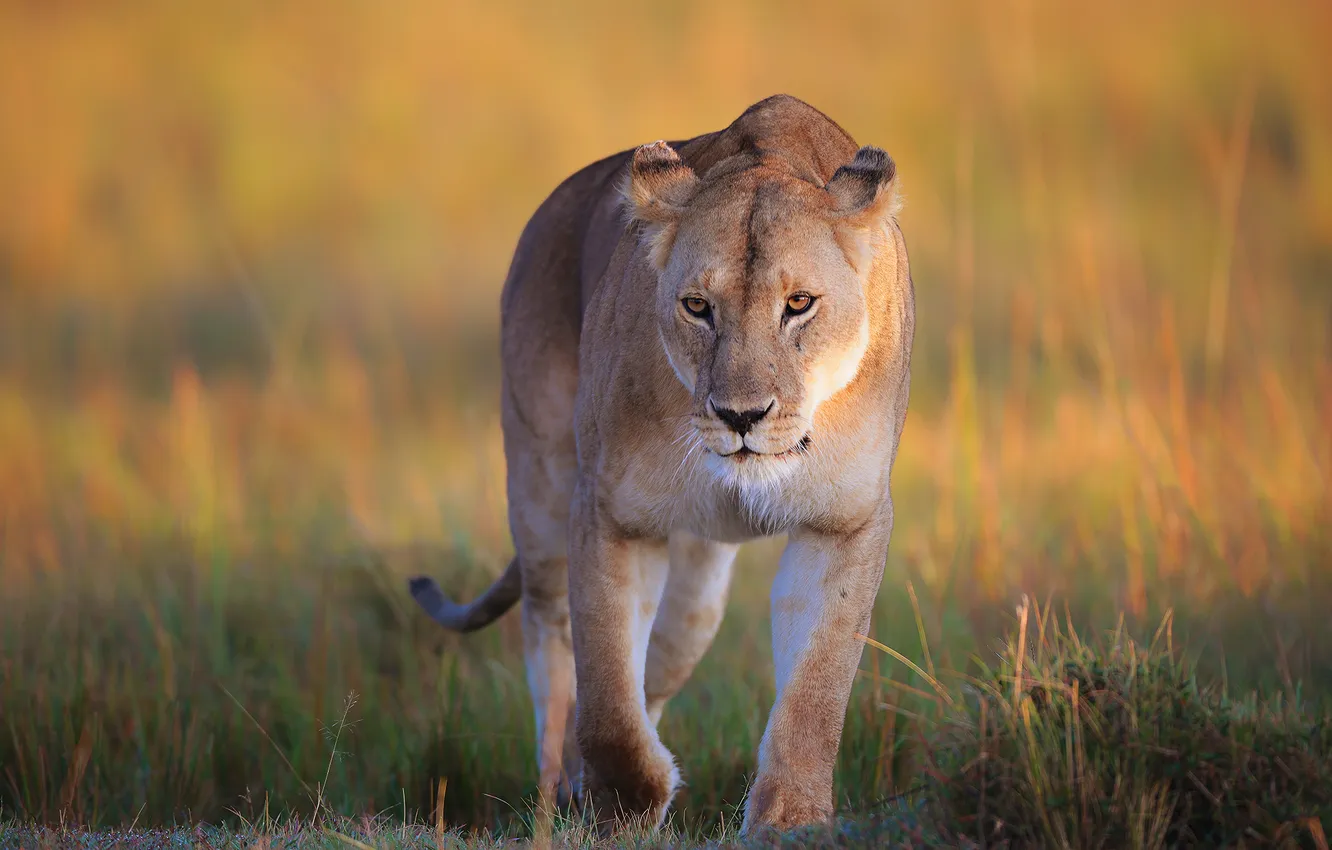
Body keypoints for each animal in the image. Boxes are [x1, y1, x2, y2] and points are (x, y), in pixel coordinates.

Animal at [409, 94, 914, 834]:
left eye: (799, 304)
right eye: (697, 307)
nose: (740, 415)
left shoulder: (846, 522)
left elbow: (815, 688)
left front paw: (788, 822)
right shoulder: (610, 512)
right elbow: (607, 691)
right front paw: (622, 808)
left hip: (696, 602)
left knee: (661, 657)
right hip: (539, 493)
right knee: (553, 651)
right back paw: (555, 799)